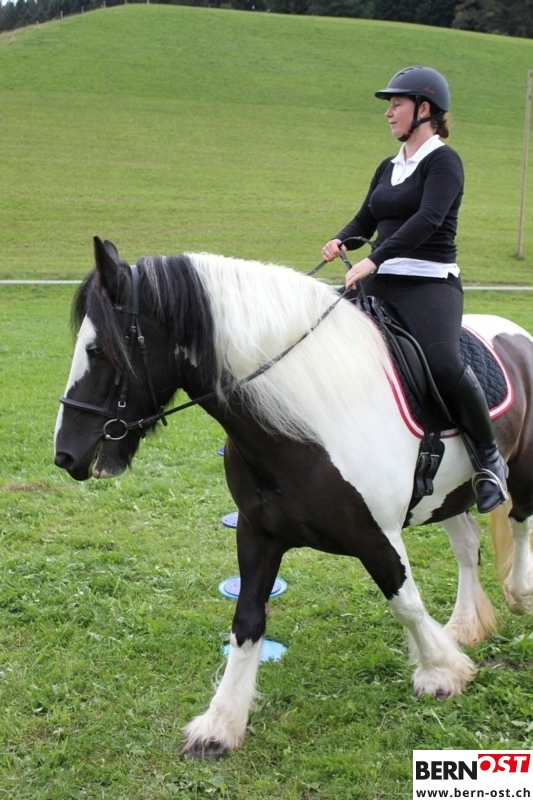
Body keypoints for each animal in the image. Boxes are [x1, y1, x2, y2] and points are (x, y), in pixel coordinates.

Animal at [54, 237, 533, 759]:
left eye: (98, 350)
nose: (65, 453)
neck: (307, 422)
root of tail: (516, 335)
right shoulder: (257, 532)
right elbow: (246, 620)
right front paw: (220, 724)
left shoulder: (377, 535)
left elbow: (405, 602)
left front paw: (441, 673)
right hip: (448, 497)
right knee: (467, 547)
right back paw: (464, 625)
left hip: (519, 471)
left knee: (520, 521)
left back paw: (519, 594)